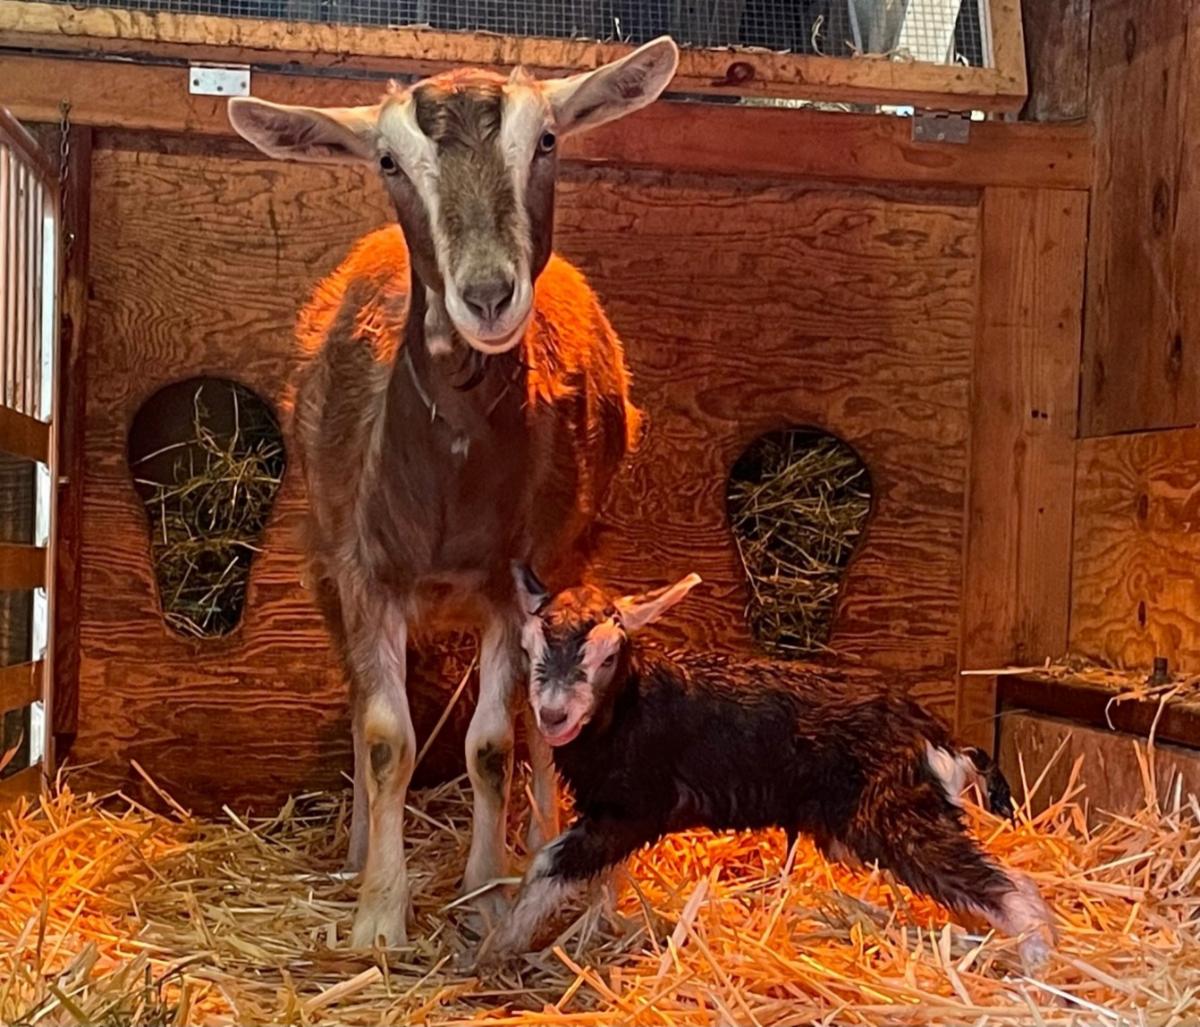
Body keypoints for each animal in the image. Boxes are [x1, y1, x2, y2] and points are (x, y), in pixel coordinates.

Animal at [226, 38, 679, 946]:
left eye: (547, 141)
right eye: (388, 161)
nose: (488, 294)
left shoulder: (518, 583)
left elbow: (493, 744)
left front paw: (487, 895)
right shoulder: (363, 569)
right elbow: (384, 737)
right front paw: (377, 912)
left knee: (539, 727)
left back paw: (538, 842)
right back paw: (357, 847)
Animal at [479, 565, 1056, 968]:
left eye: (607, 656)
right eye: (529, 648)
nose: (554, 715)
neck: (626, 708)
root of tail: (938, 739)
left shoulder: (633, 809)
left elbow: (549, 864)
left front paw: (495, 948)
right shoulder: (613, 818)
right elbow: (602, 879)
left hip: (894, 813)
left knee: (1009, 885)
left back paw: (1038, 966)